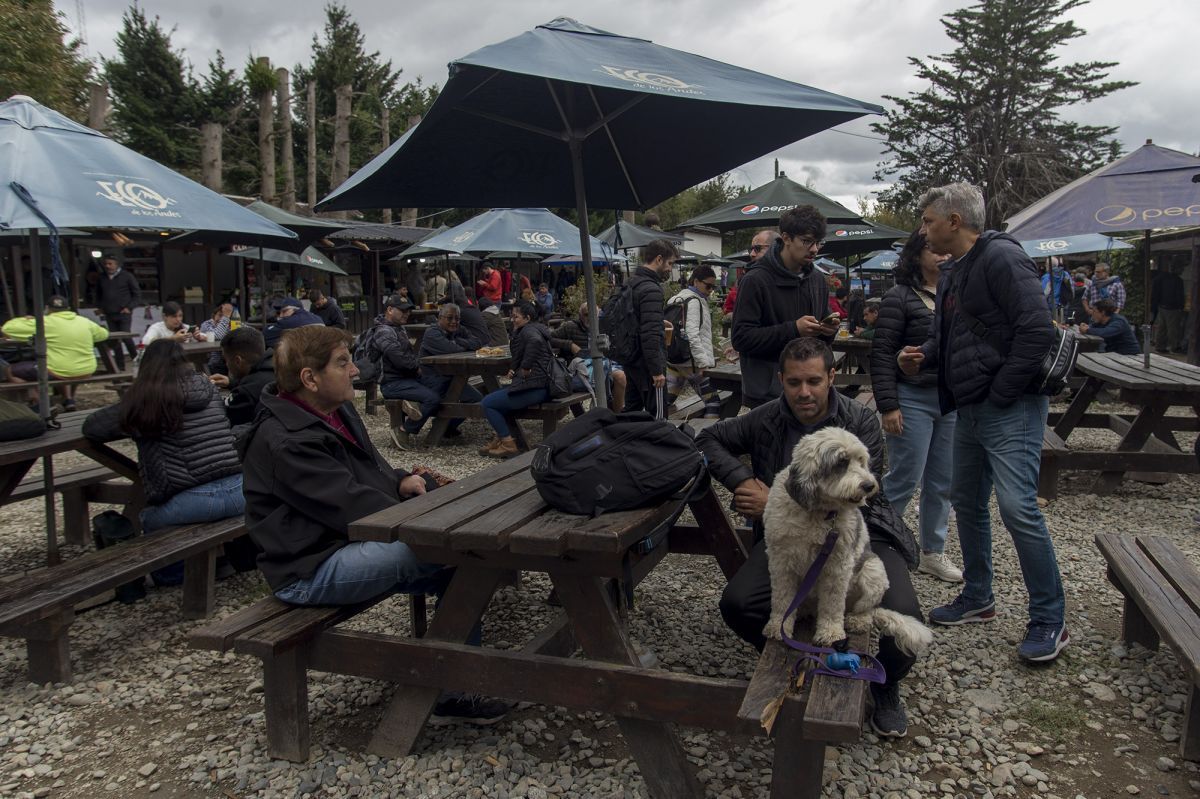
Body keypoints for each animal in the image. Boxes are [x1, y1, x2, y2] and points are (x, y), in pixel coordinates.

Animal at [763, 427, 931, 657]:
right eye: (841, 462)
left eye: (861, 461)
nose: (869, 485)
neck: (819, 514)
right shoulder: (781, 562)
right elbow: (782, 597)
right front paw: (778, 627)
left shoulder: (837, 566)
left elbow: (833, 603)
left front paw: (831, 633)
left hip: (873, 572)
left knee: (866, 609)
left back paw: (857, 620)